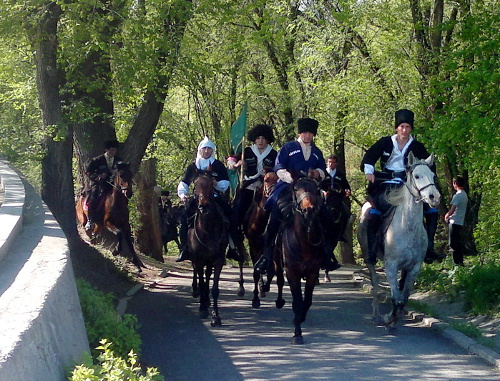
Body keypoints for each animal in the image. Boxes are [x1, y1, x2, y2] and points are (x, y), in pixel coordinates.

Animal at [188, 174, 229, 326]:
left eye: (212, 184)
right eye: (195, 184)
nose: (203, 205)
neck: (208, 229)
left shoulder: (217, 260)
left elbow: (214, 288)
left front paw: (216, 316)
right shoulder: (199, 260)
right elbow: (202, 284)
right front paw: (202, 309)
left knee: (207, 276)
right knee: (198, 275)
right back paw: (198, 295)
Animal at [241, 171, 278, 308]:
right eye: (266, 180)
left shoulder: (272, 247)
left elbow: (272, 270)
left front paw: (265, 287)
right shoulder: (253, 245)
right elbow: (256, 273)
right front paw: (255, 299)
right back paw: (241, 288)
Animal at [274, 177, 324, 342]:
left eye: (315, 188)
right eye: (296, 189)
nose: (309, 210)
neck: (303, 243)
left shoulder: (313, 272)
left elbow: (306, 301)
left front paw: (300, 318)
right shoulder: (292, 272)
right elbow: (297, 301)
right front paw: (297, 333)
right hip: (277, 261)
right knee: (279, 279)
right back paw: (279, 301)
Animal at [358, 153, 440, 328]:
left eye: (433, 175)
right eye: (417, 176)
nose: (434, 197)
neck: (407, 226)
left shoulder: (414, 267)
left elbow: (404, 298)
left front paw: (395, 318)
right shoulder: (391, 265)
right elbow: (396, 298)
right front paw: (388, 318)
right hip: (370, 259)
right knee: (375, 284)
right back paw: (376, 315)